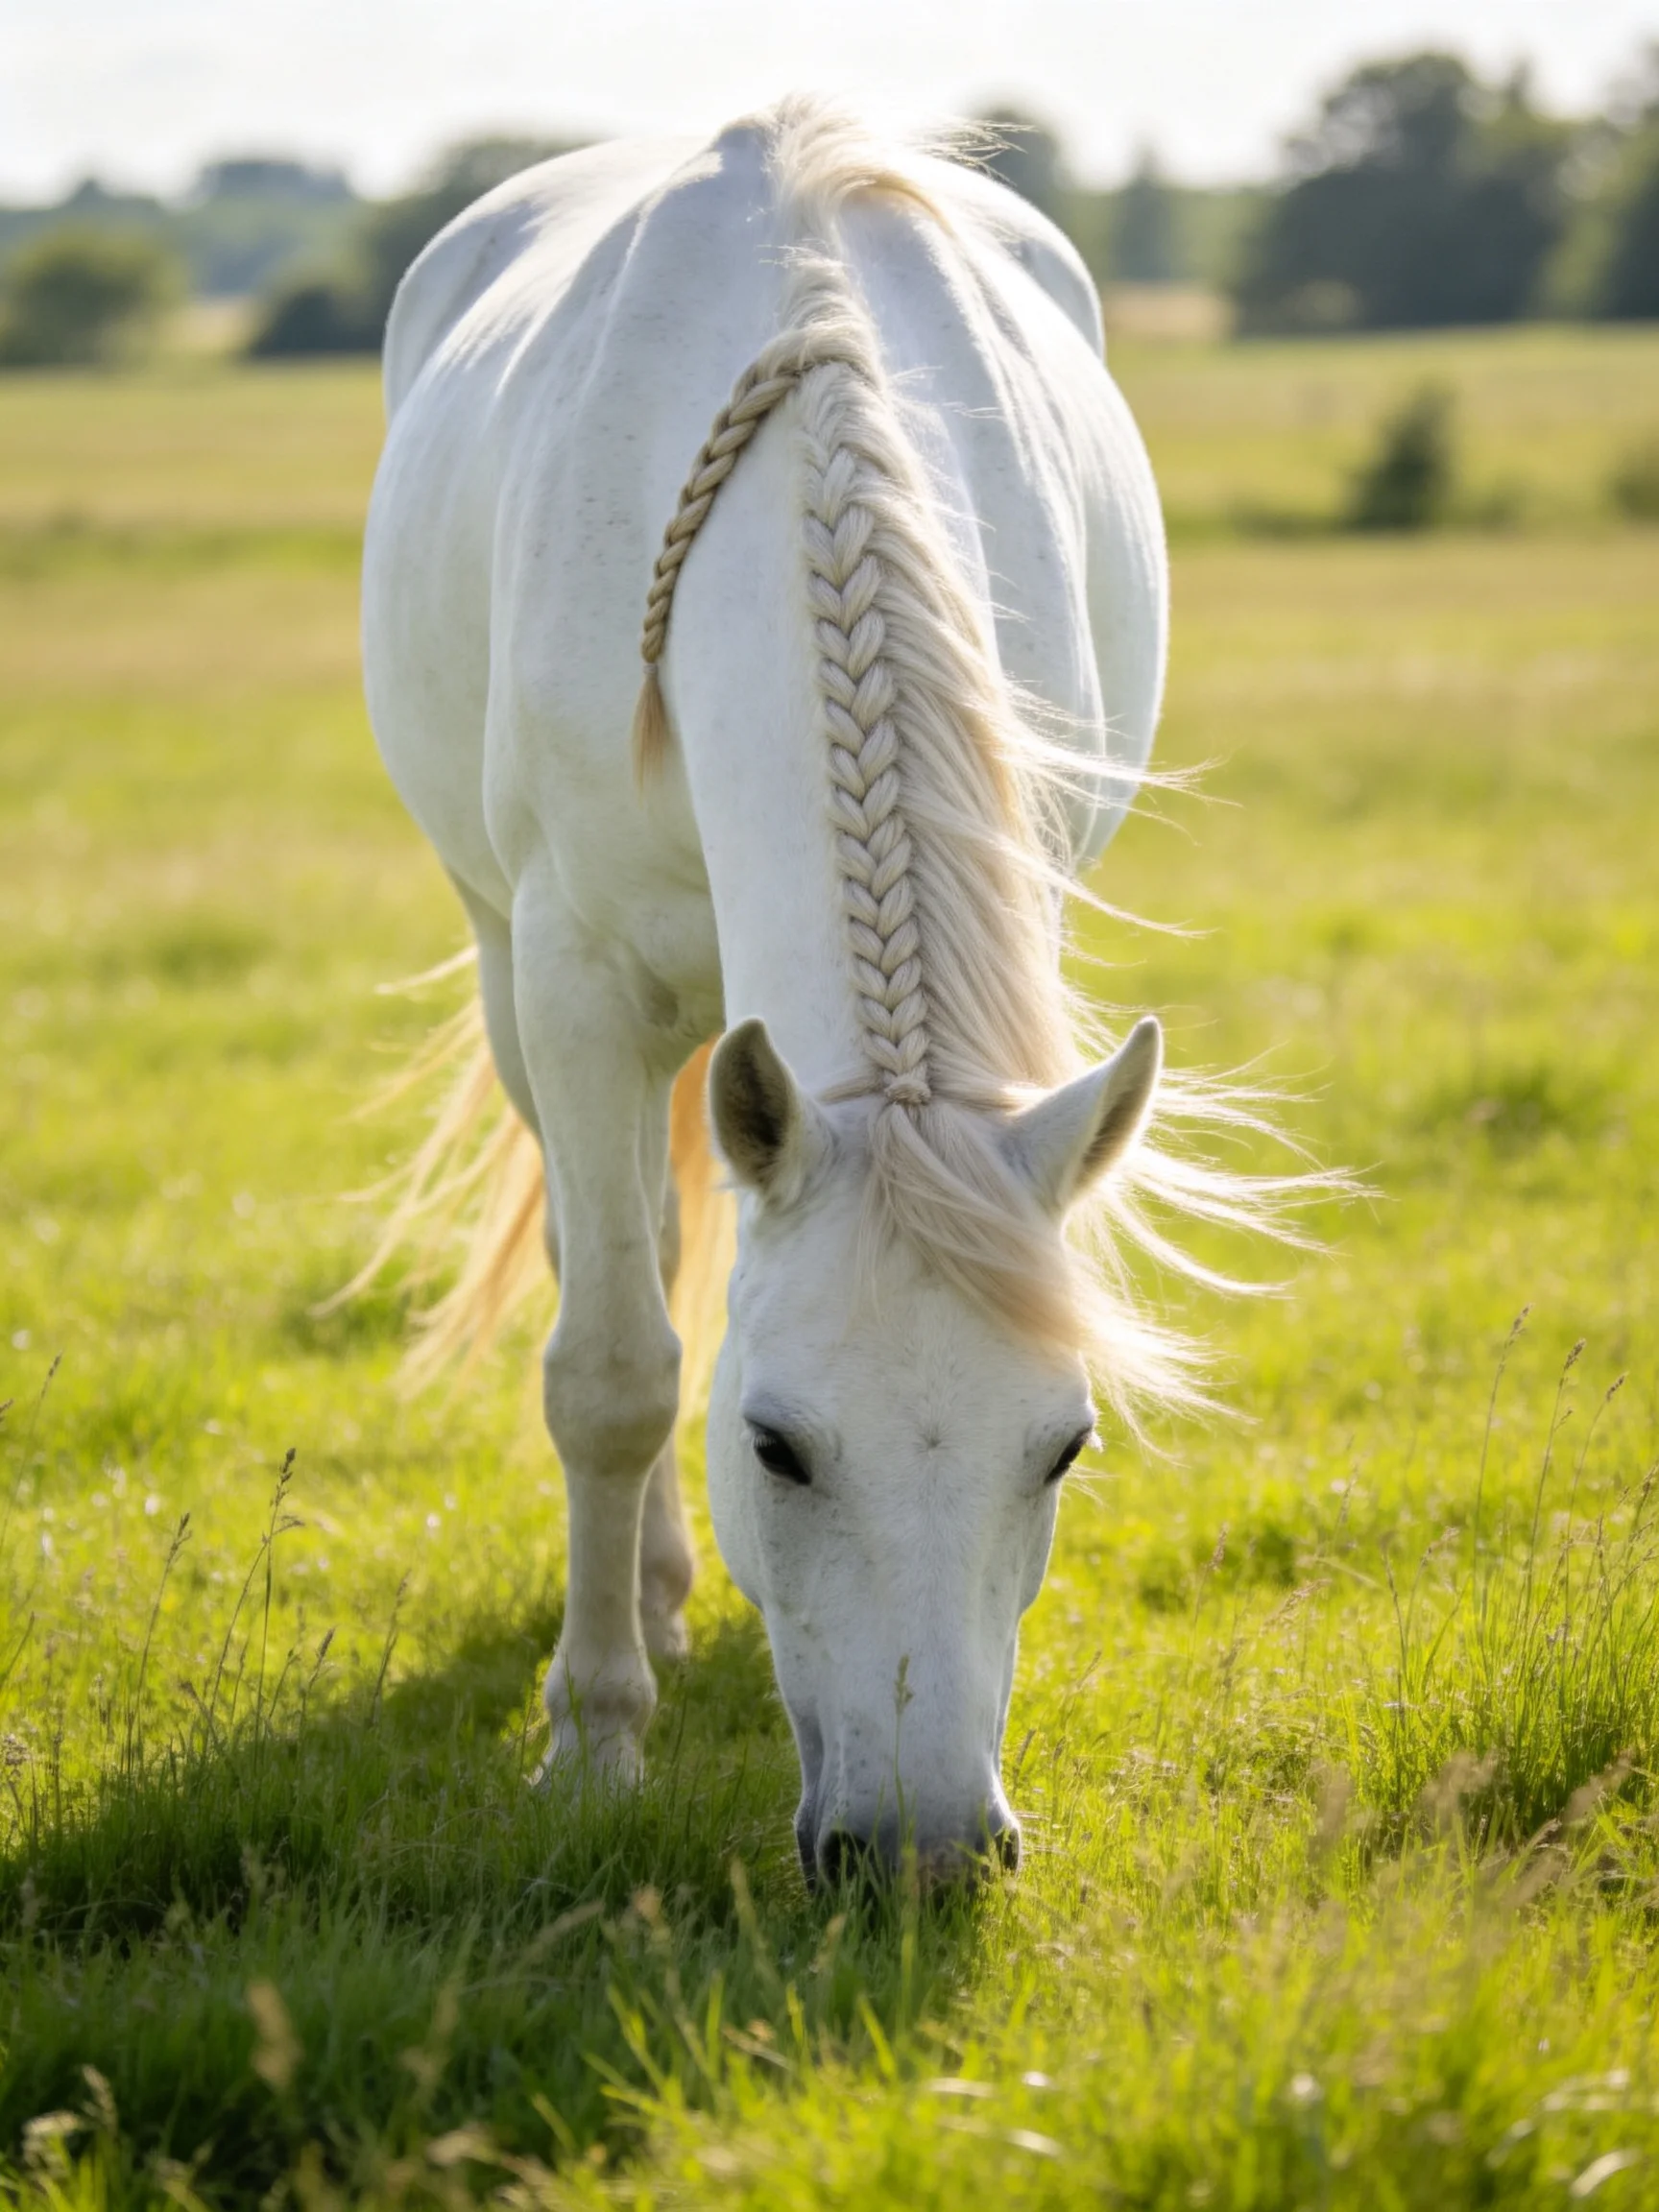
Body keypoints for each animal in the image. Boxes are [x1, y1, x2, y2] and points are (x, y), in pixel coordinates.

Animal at [359, 98, 1275, 1887]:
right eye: (776, 1444)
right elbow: (616, 1369)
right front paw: (593, 1743)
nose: (922, 1852)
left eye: (1061, 1446)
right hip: (510, 968)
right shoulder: (575, 985)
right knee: (625, 1258)